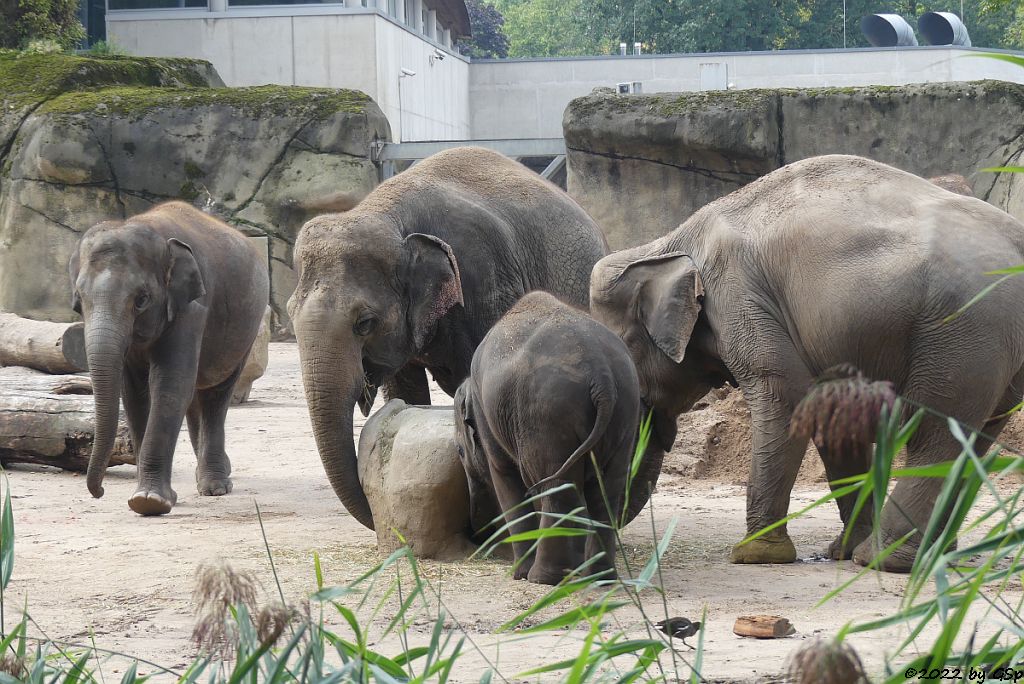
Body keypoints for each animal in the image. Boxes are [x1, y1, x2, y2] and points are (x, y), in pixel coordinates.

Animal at [72, 200, 272, 516]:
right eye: (78, 303)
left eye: (141, 300)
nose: (99, 491)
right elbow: (134, 393)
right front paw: (143, 496)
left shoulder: (191, 308)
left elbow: (169, 385)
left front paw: (149, 501)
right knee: (197, 395)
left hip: (247, 329)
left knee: (217, 395)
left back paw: (215, 486)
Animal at [452, 290, 659, 585]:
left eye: (459, 451)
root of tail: (602, 376)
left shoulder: (487, 417)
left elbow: (506, 478)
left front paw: (518, 574)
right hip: (626, 410)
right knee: (606, 490)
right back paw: (599, 577)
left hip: (548, 414)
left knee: (556, 486)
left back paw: (543, 578)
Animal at [589, 154, 1024, 573]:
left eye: (625, 349)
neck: (665, 242)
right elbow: (834, 416)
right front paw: (838, 552)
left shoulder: (738, 294)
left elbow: (785, 395)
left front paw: (755, 556)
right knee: (974, 437)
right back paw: (927, 553)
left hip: (963, 330)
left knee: (934, 432)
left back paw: (881, 559)